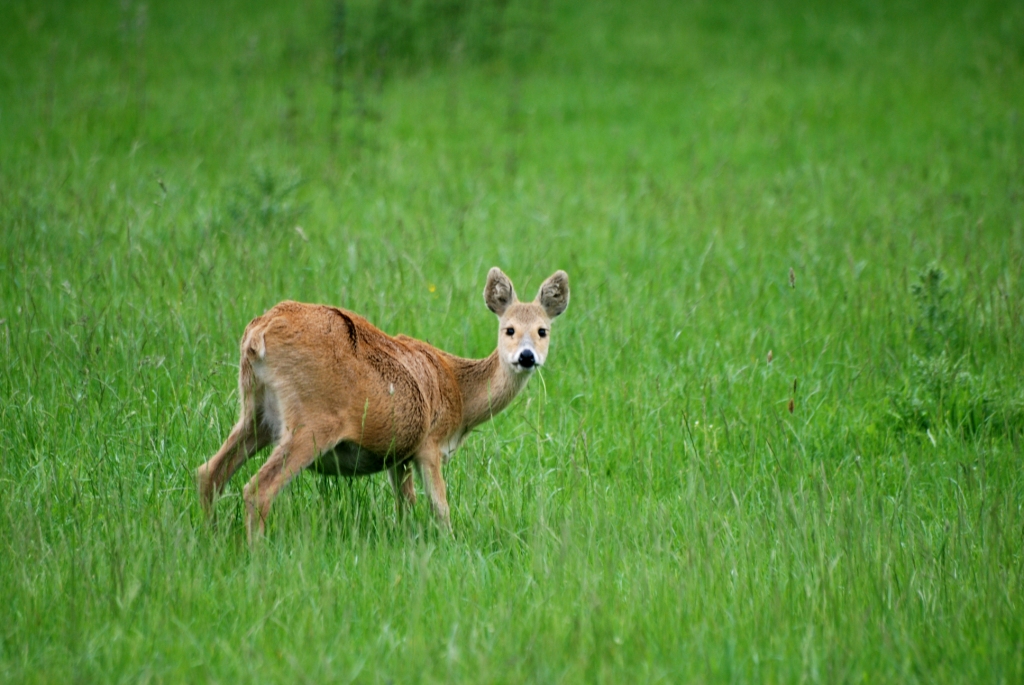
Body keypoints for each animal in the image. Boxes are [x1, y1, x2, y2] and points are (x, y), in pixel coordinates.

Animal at [195, 267, 569, 541]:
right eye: (509, 329)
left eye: (542, 330)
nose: (526, 356)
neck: (460, 395)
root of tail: (258, 334)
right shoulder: (429, 443)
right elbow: (440, 508)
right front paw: (451, 546)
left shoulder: (398, 455)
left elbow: (406, 506)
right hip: (313, 420)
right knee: (257, 488)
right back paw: (256, 554)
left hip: (255, 412)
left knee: (209, 472)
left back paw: (210, 539)